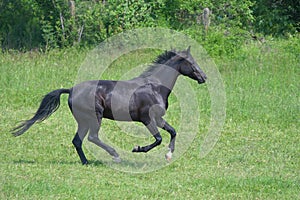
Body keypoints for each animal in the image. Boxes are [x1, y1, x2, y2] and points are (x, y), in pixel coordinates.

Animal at [11, 46, 206, 164]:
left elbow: (172, 131)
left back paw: (86, 162)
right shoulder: (147, 118)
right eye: (191, 63)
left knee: (78, 140)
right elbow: (158, 139)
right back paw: (115, 156)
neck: (155, 86)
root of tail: (72, 90)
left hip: (83, 121)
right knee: (92, 137)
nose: (204, 77)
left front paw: (169, 154)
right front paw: (137, 149)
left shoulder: (158, 118)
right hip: (94, 117)